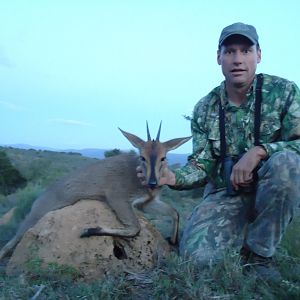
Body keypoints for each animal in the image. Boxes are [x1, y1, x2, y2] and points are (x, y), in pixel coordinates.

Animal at [0, 123, 191, 262]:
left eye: (163, 157)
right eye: (142, 156)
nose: (153, 182)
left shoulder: (146, 203)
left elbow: (174, 213)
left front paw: (173, 241)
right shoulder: (117, 199)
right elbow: (135, 229)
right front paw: (89, 230)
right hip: (33, 218)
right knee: (9, 244)